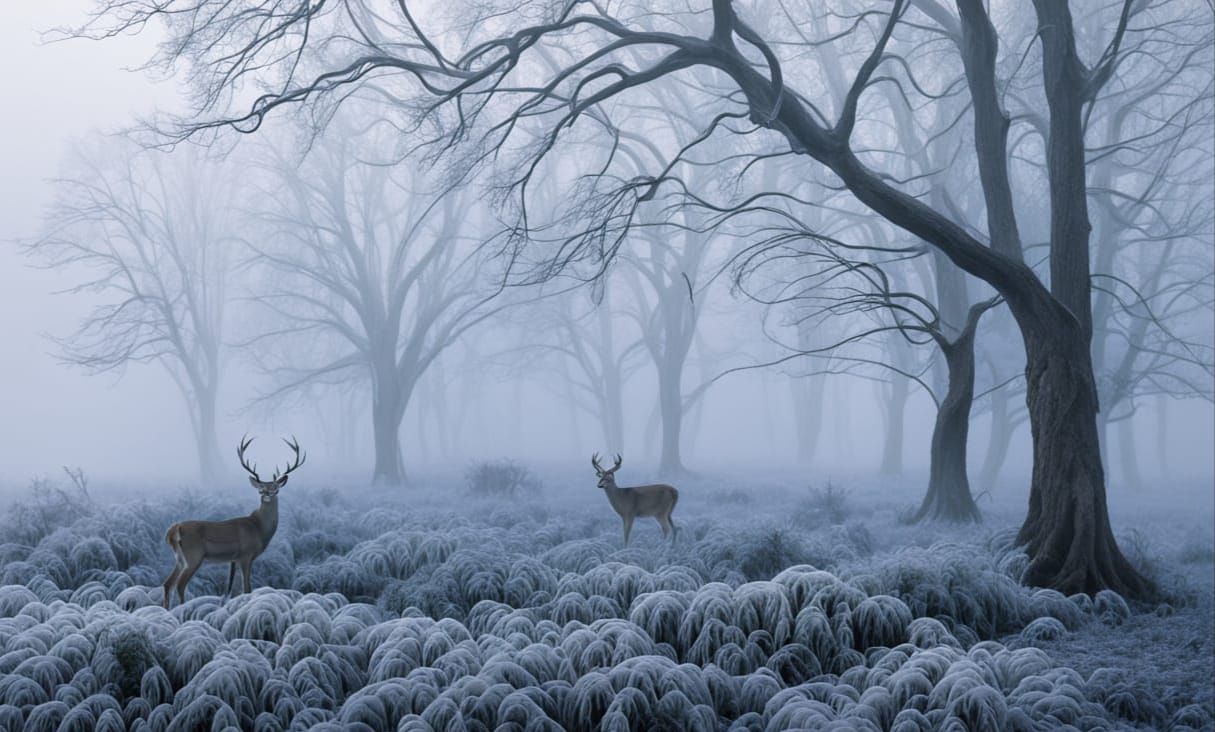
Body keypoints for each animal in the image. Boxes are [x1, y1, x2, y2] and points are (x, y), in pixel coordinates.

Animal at [160, 436, 305, 609]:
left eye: (276, 488)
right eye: (260, 488)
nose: (266, 493)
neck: (258, 528)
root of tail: (174, 529)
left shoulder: (234, 559)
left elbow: (233, 590)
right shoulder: (246, 555)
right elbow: (247, 588)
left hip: (179, 558)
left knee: (168, 583)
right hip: (193, 555)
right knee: (180, 584)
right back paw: (182, 609)